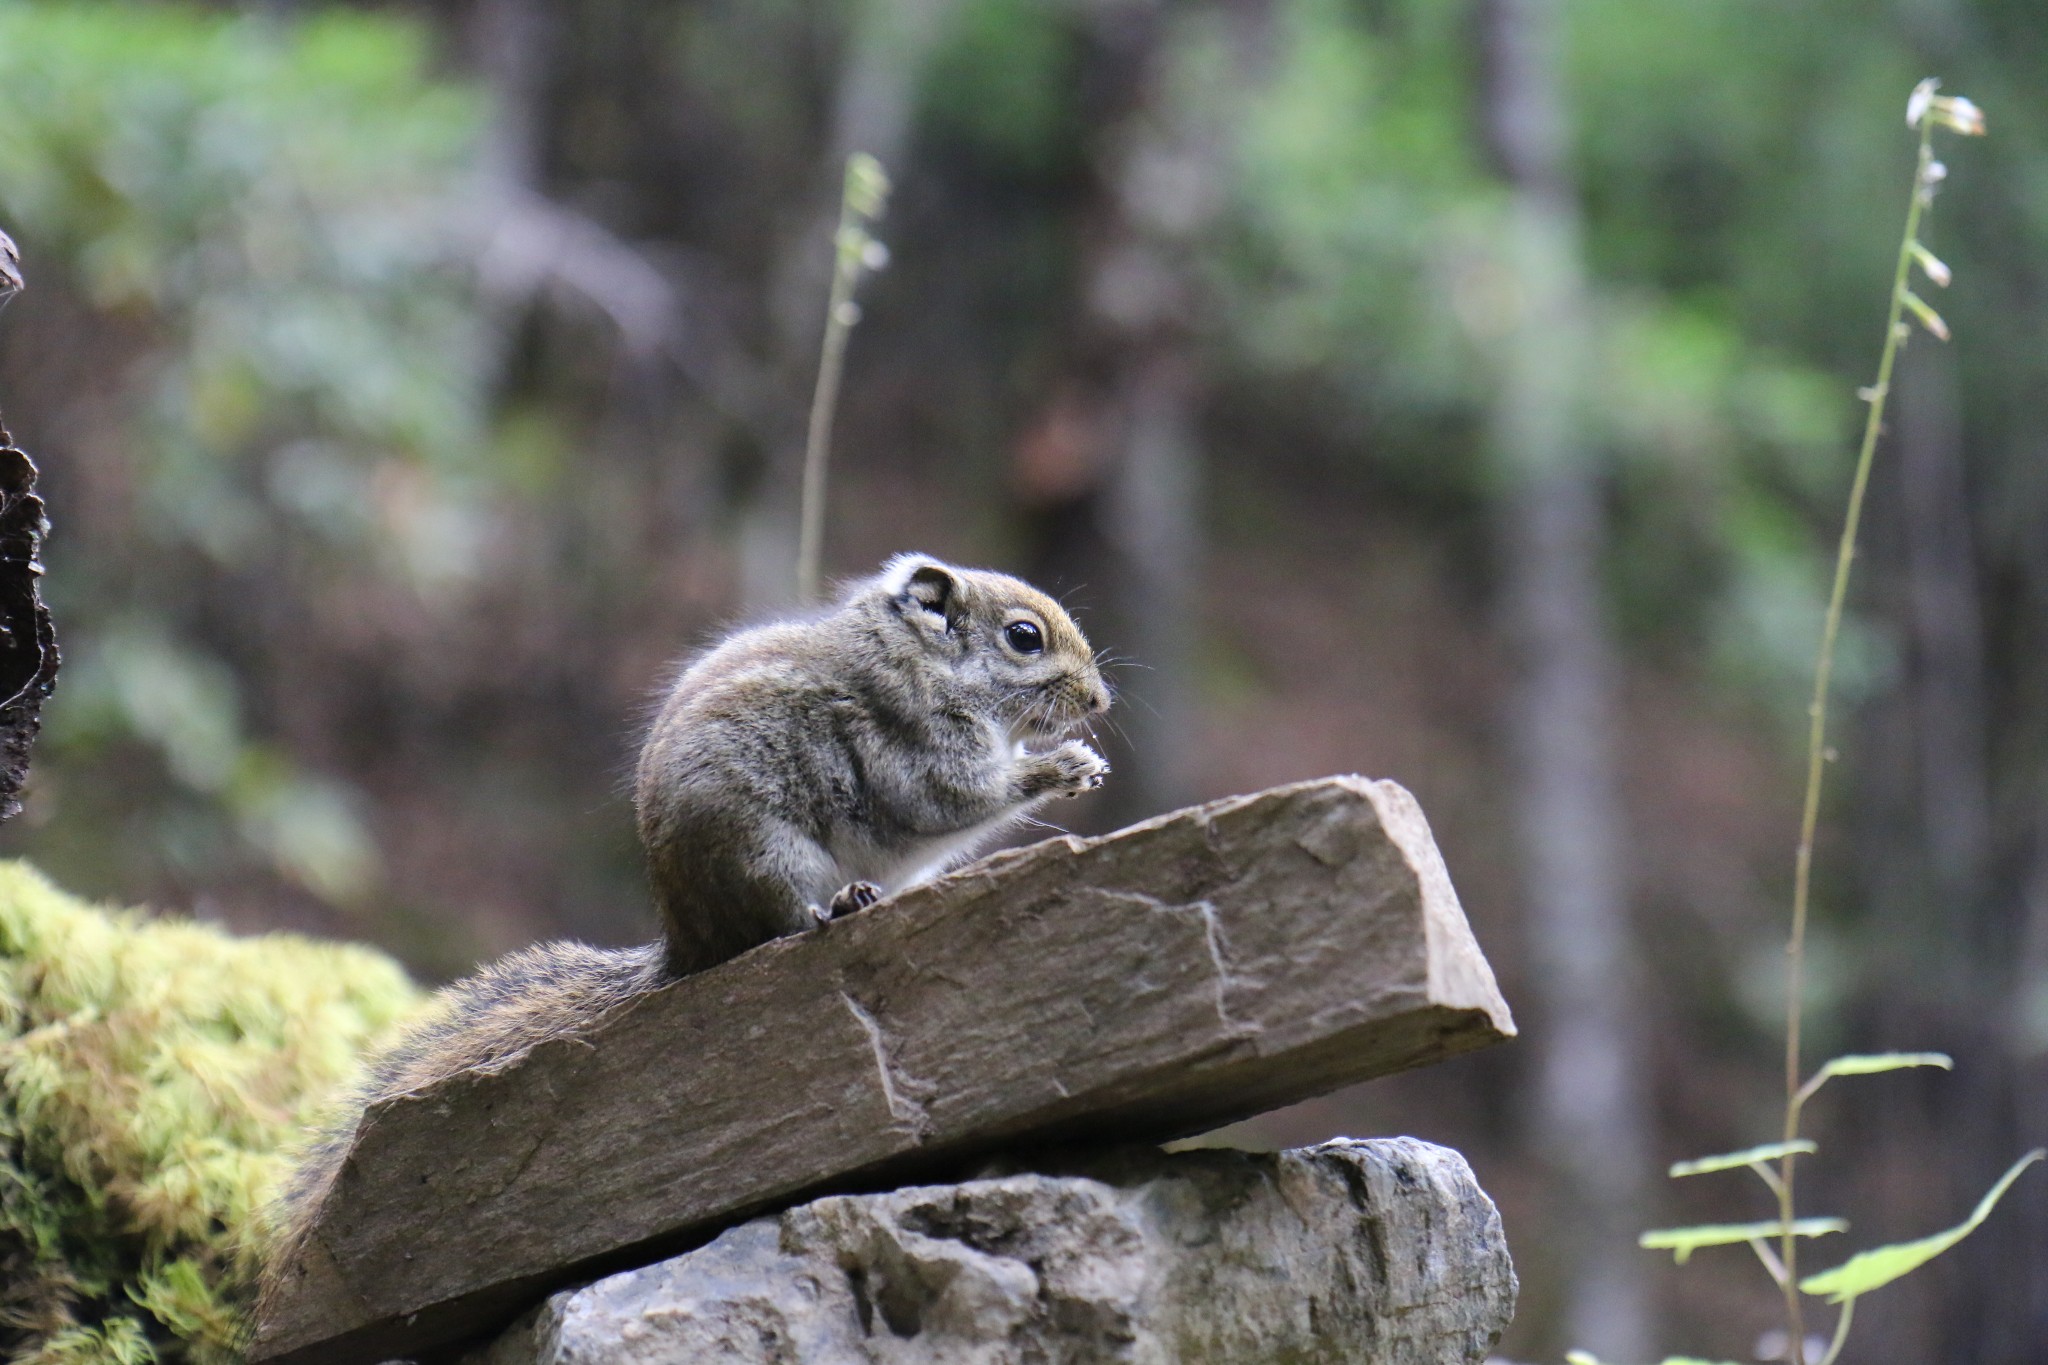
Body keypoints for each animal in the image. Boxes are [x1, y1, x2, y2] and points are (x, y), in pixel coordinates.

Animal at [266, 552, 1122, 1268]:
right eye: (1023, 636)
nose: (1099, 699)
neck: (921, 659)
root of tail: (687, 939)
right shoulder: (917, 745)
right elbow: (957, 798)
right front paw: (1060, 765)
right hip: (767, 854)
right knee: (775, 927)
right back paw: (840, 905)